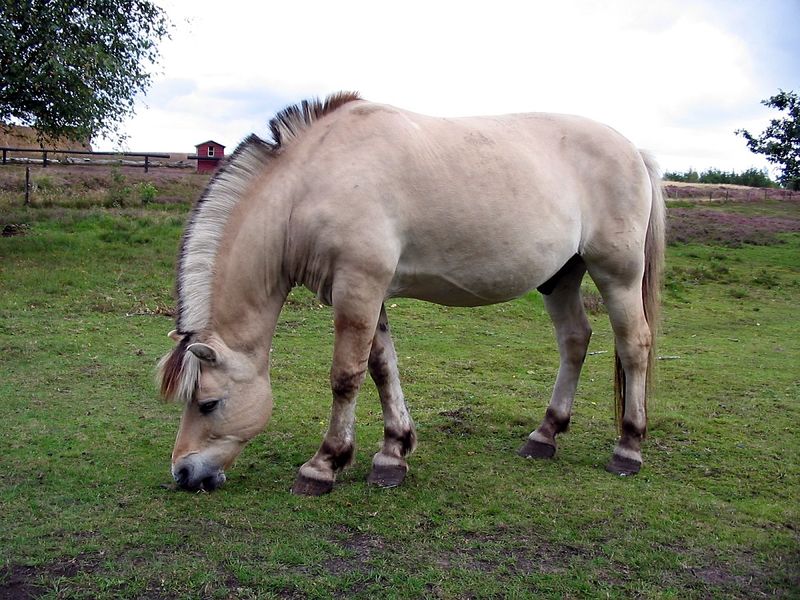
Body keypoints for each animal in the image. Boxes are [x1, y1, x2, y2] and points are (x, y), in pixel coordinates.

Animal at [158, 91, 665, 496]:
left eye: (208, 403)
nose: (182, 473)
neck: (310, 184)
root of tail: (634, 150)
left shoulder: (358, 288)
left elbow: (346, 376)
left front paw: (324, 464)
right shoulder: (369, 293)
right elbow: (382, 368)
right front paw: (392, 453)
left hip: (616, 273)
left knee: (634, 345)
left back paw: (628, 447)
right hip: (560, 276)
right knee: (575, 340)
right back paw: (545, 435)